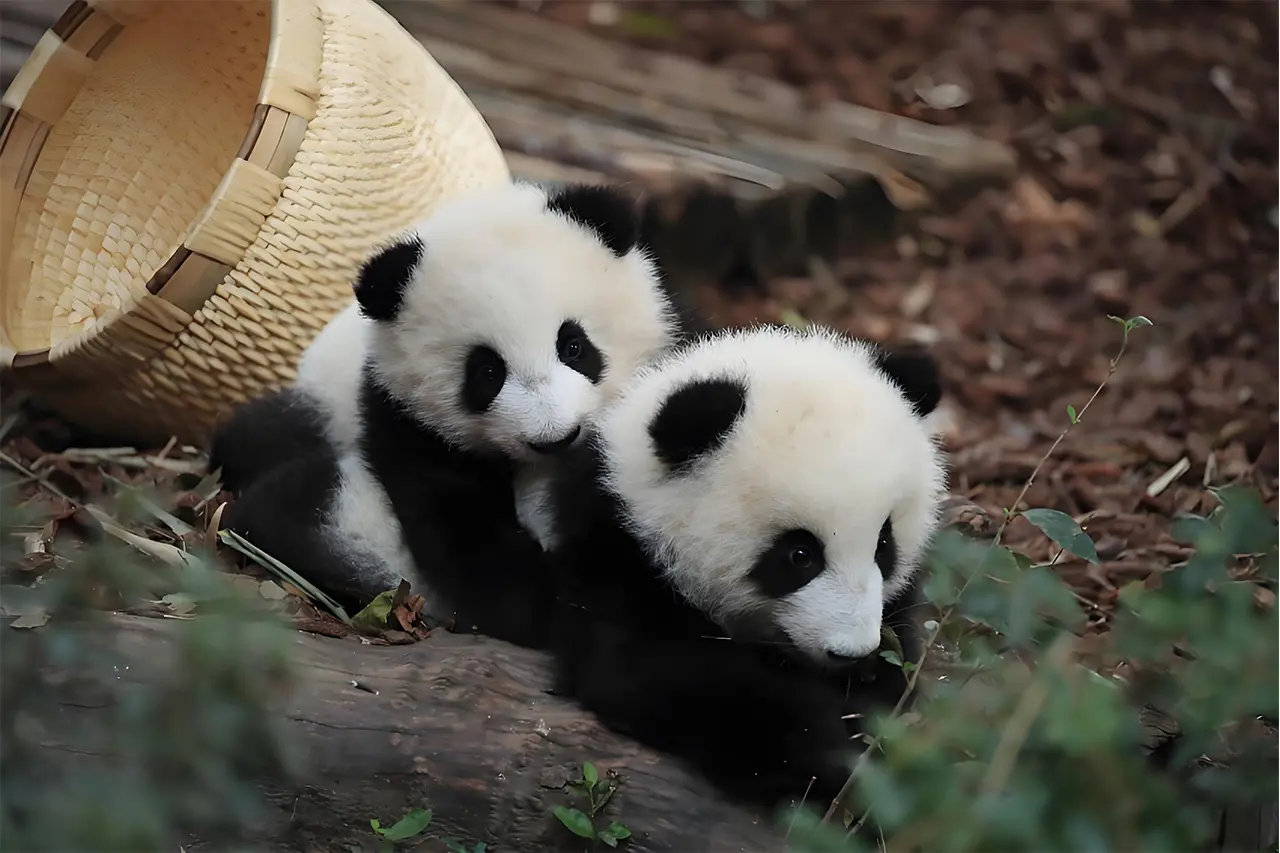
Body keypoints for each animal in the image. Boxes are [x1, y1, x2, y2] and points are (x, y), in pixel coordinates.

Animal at [210, 181, 683, 647]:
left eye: (573, 346)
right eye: (487, 372)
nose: (555, 437)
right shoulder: (405, 420)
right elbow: (458, 518)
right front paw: (543, 606)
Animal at [546, 323, 947, 810]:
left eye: (884, 543)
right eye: (800, 555)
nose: (851, 654)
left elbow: (896, 669)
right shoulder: (617, 555)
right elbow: (670, 675)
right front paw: (824, 753)